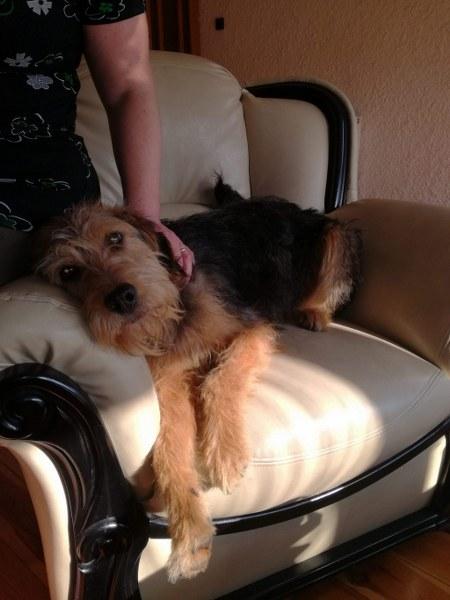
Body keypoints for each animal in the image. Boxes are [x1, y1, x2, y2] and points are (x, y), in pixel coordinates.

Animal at [34, 179, 361, 582]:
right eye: (68, 272)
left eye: (115, 238)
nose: (123, 298)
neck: (171, 312)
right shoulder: (167, 380)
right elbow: (169, 446)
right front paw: (190, 534)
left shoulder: (252, 328)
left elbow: (220, 378)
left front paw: (226, 452)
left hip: (334, 236)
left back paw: (314, 311)